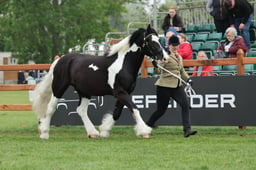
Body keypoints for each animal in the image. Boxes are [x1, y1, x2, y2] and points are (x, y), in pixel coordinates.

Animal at [32, 24, 168, 139]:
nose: (164, 57)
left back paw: (93, 133)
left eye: (159, 40)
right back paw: (44, 133)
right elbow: (134, 108)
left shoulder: (125, 93)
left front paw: (104, 130)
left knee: (81, 110)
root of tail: (59, 60)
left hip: (84, 92)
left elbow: (117, 113)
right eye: (151, 41)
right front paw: (144, 131)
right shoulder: (120, 92)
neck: (123, 64)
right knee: (50, 108)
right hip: (59, 87)